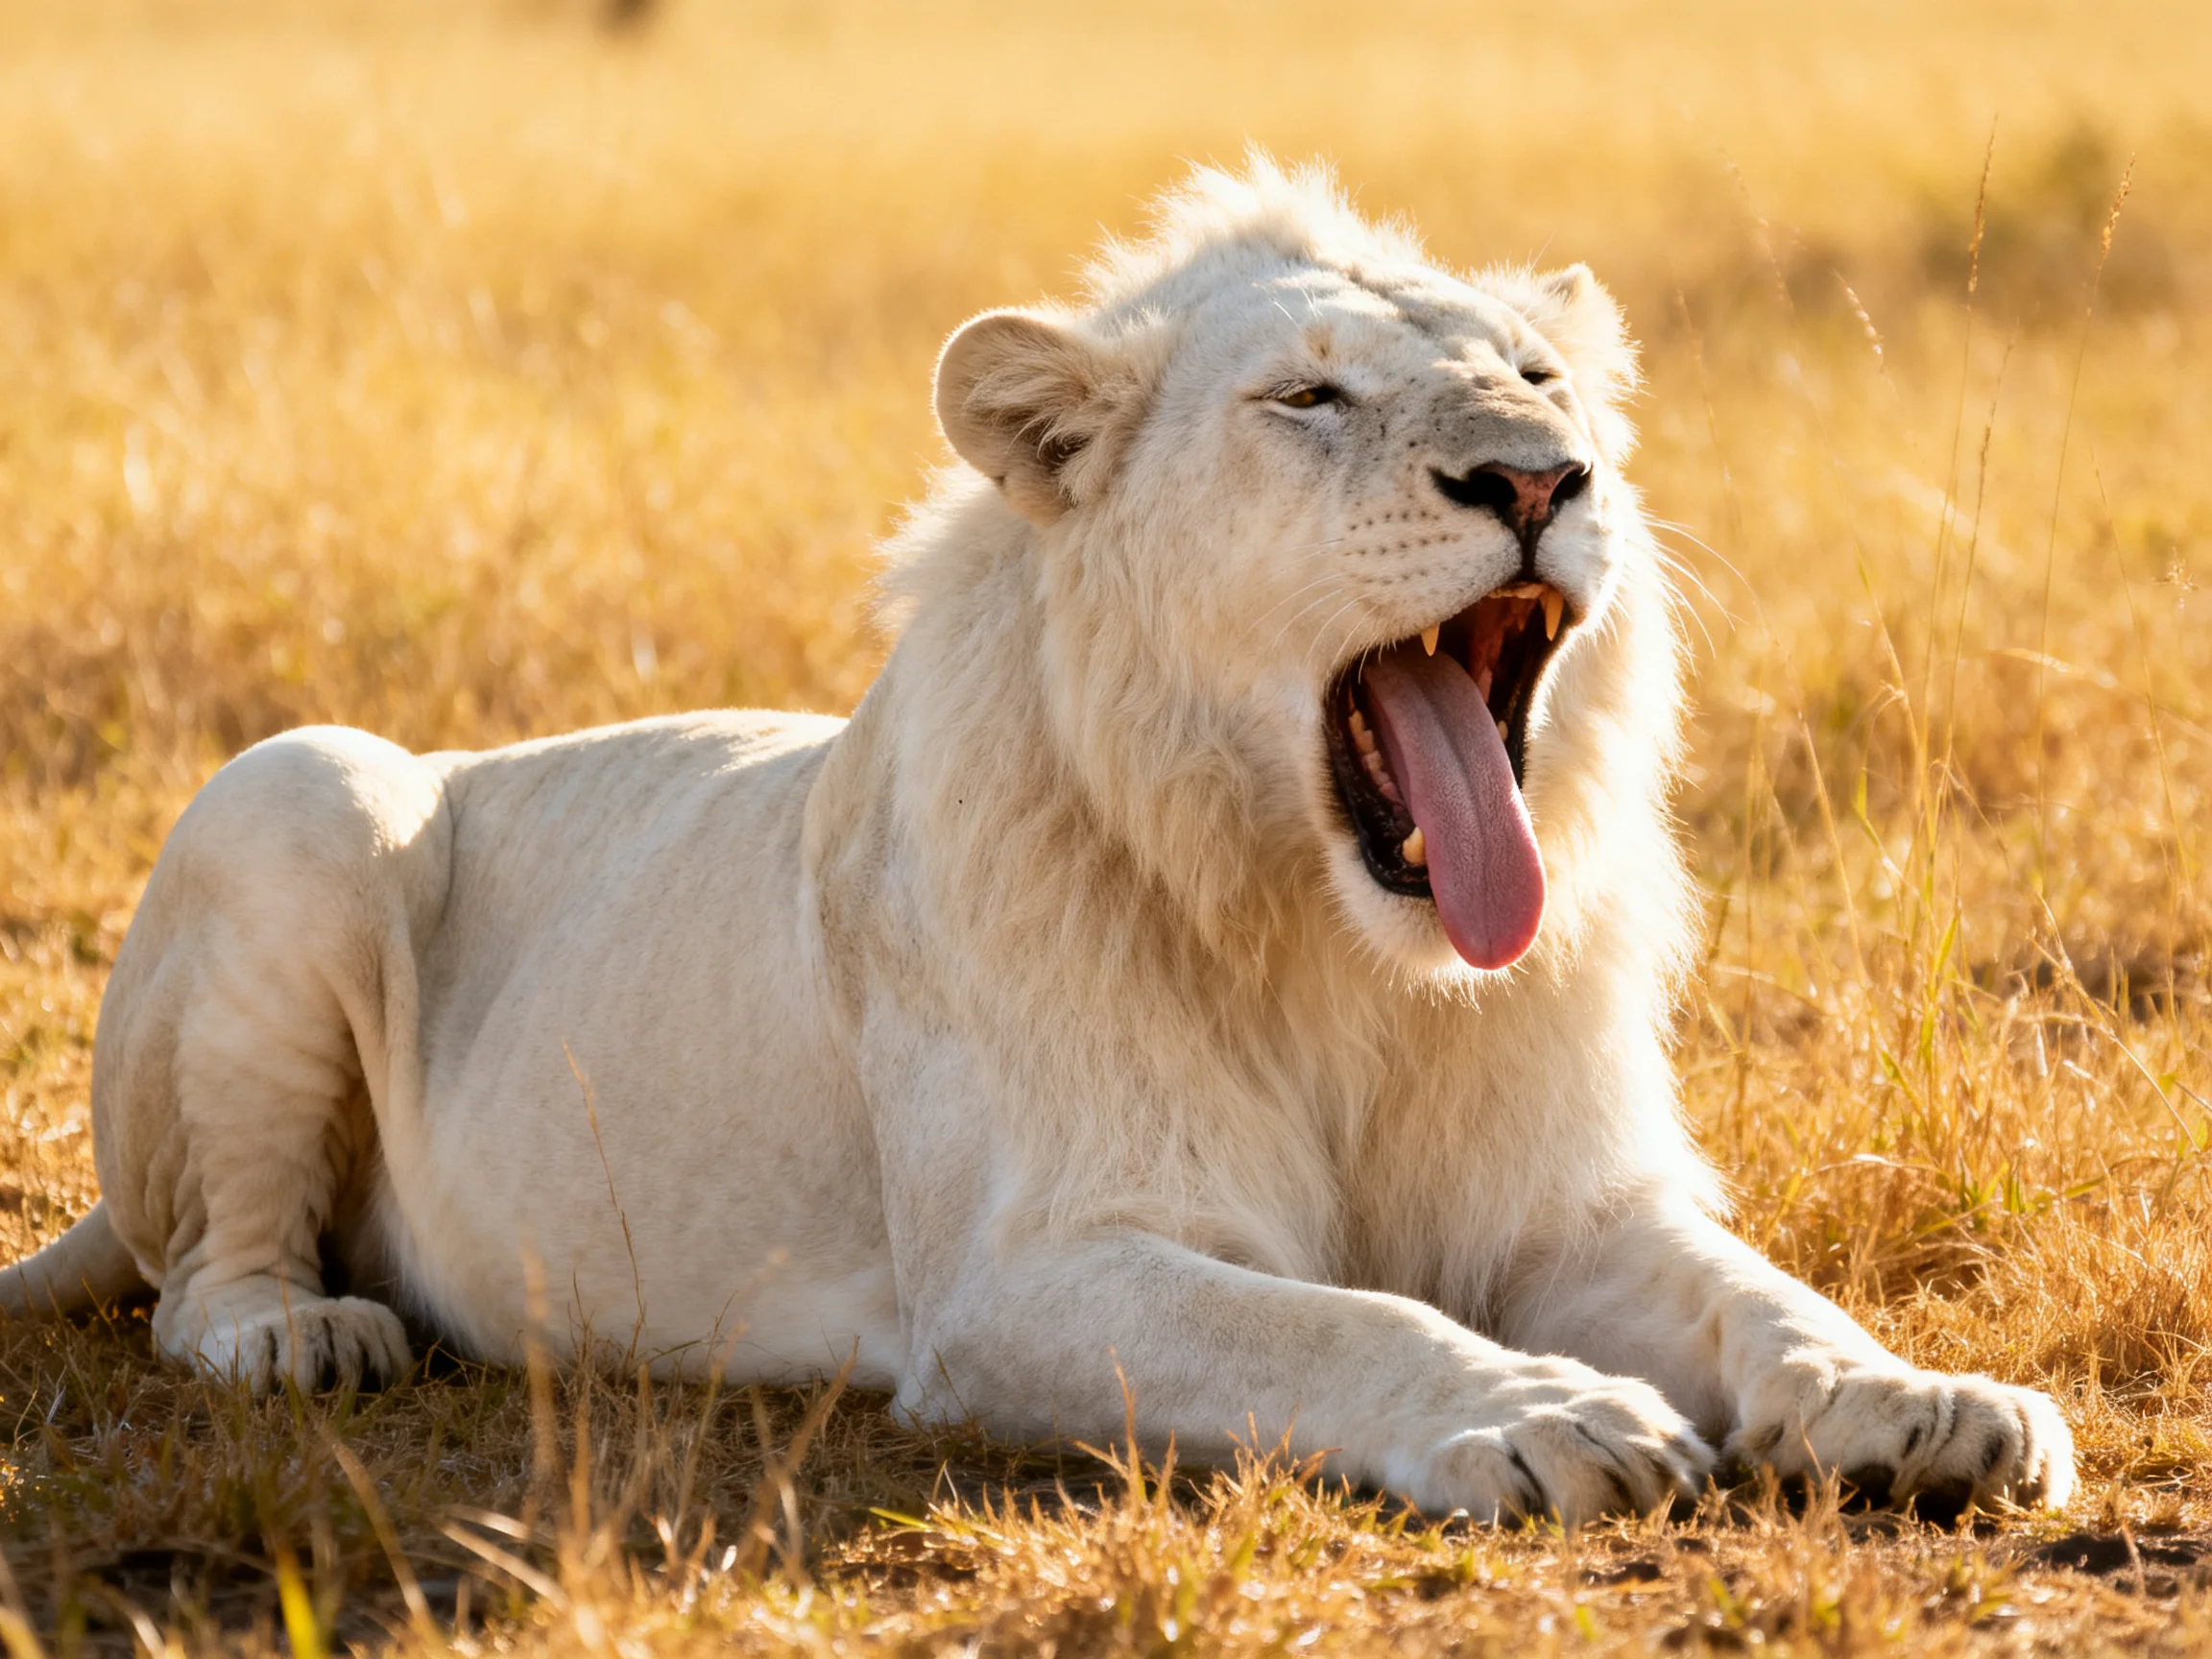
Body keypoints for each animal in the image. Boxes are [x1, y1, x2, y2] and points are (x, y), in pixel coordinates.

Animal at [2, 159, 2072, 1523]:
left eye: (1544, 383)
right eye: (1307, 393)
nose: (1535, 478)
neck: (1334, 948)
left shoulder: (1567, 1206)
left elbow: (1758, 1297)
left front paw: (1921, 1400)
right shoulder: (1023, 1279)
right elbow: (1340, 1323)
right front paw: (1544, 1414)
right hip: (303, 787)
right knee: (202, 1275)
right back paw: (309, 1335)